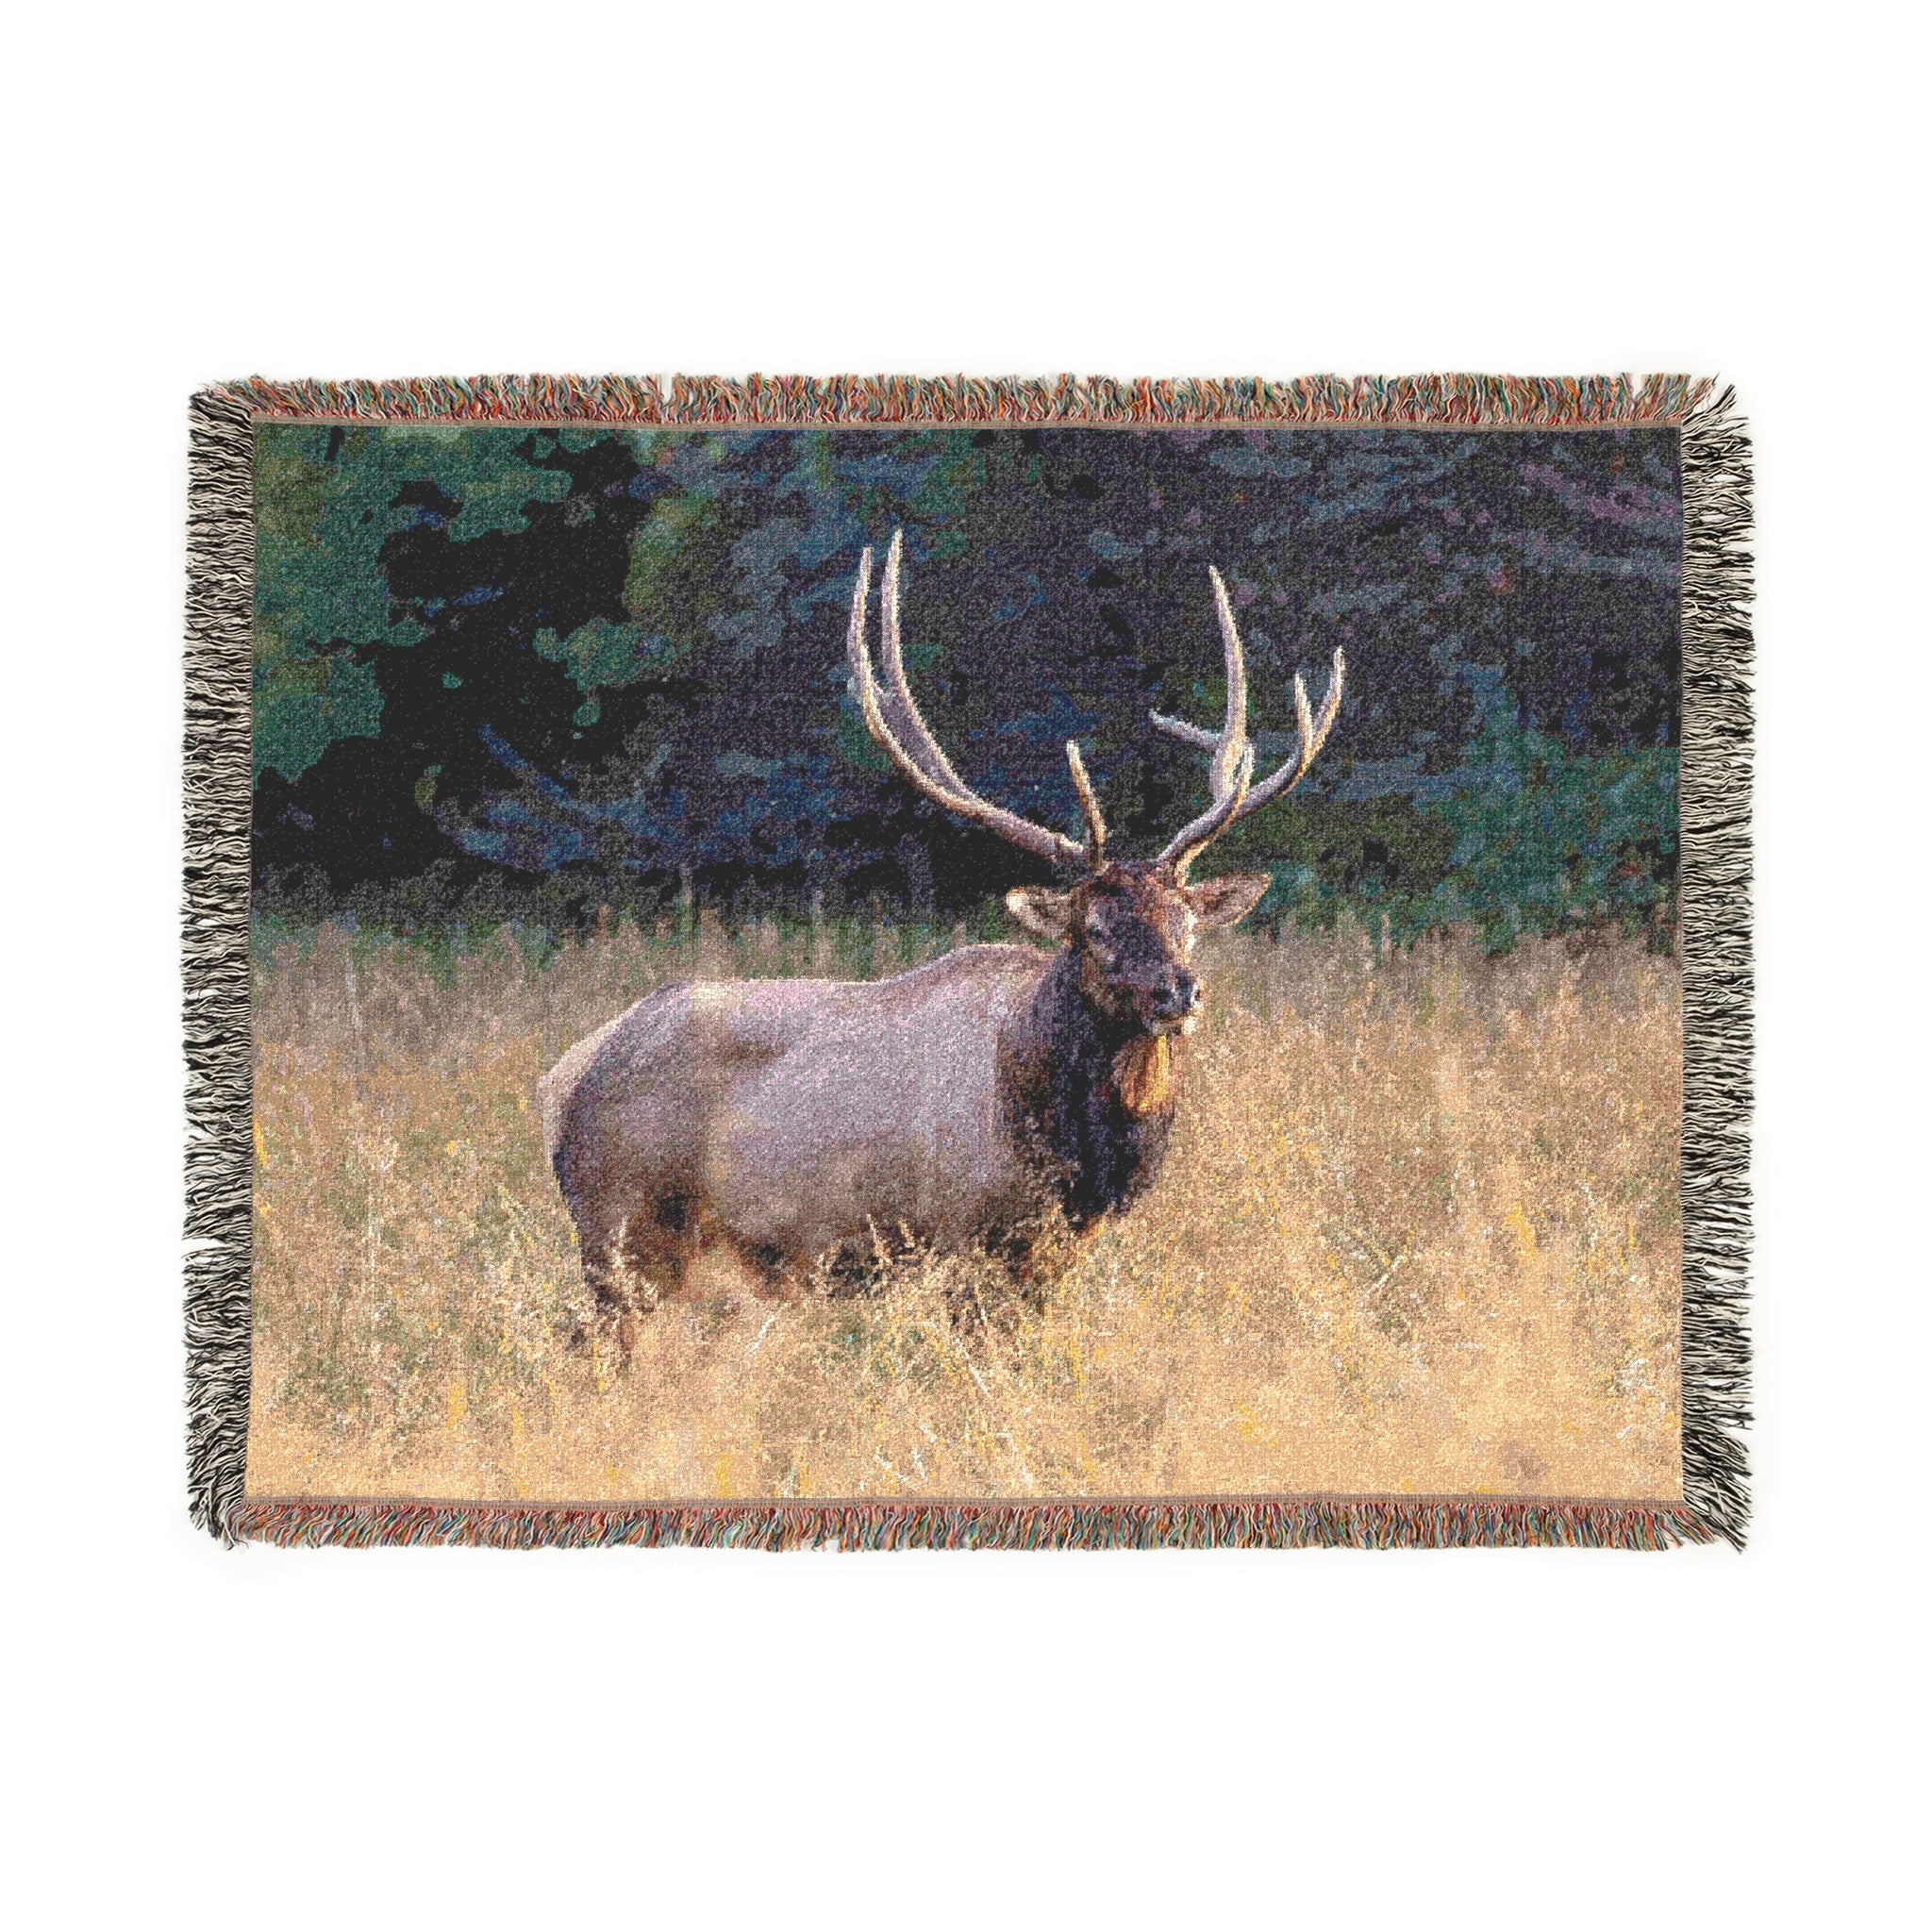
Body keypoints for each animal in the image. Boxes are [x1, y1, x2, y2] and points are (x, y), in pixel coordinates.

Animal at [540, 530, 1344, 1344]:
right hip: (623, 1231)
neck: (1070, 1151)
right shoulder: (964, 1237)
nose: (1177, 991)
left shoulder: (1053, 1253)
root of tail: (564, 1079)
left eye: (1187, 924)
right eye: (1093, 929)